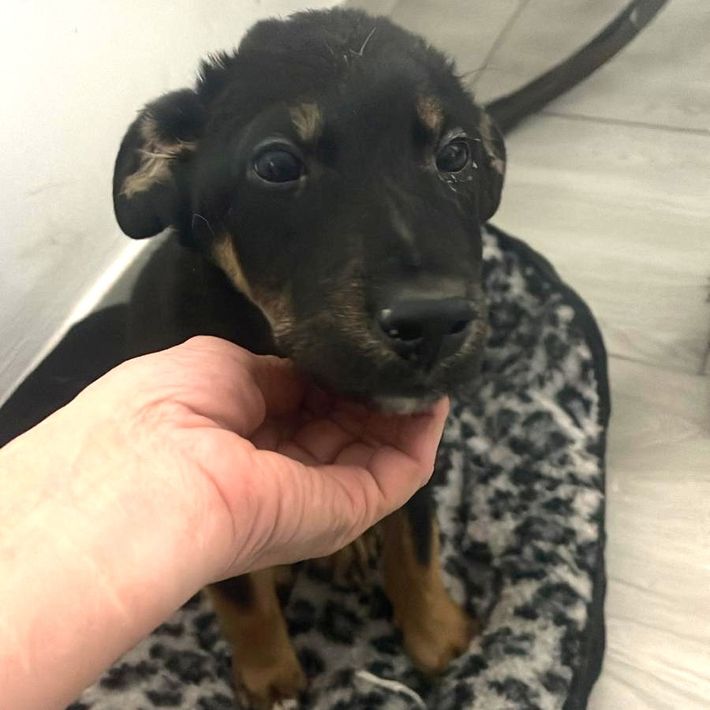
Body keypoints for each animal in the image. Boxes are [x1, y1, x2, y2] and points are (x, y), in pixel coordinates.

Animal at [111, 4, 665, 705]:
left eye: (455, 153)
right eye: (276, 164)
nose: (431, 324)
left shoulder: (417, 460)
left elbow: (417, 545)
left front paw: (440, 635)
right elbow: (242, 599)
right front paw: (270, 678)